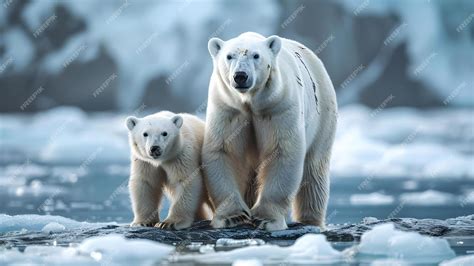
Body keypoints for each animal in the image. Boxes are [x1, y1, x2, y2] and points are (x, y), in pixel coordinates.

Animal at [204, 31, 336, 231]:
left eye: (256, 55)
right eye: (229, 56)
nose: (240, 76)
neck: (250, 101)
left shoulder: (278, 106)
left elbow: (282, 152)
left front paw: (265, 219)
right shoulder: (228, 108)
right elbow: (224, 151)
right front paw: (233, 217)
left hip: (323, 114)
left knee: (314, 170)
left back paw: (311, 220)